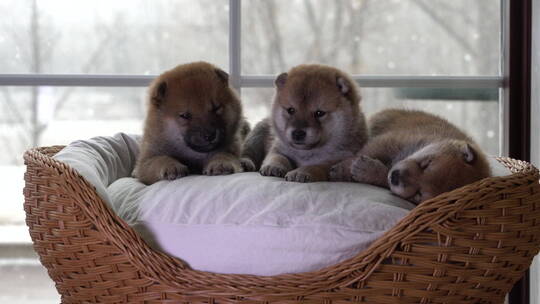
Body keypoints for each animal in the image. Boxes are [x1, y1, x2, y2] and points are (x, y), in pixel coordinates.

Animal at [330, 109, 494, 204]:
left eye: (418, 194)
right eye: (426, 164)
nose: (395, 177)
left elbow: (382, 175)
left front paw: (367, 171)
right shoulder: (389, 141)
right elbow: (364, 152)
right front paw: (342, 169)